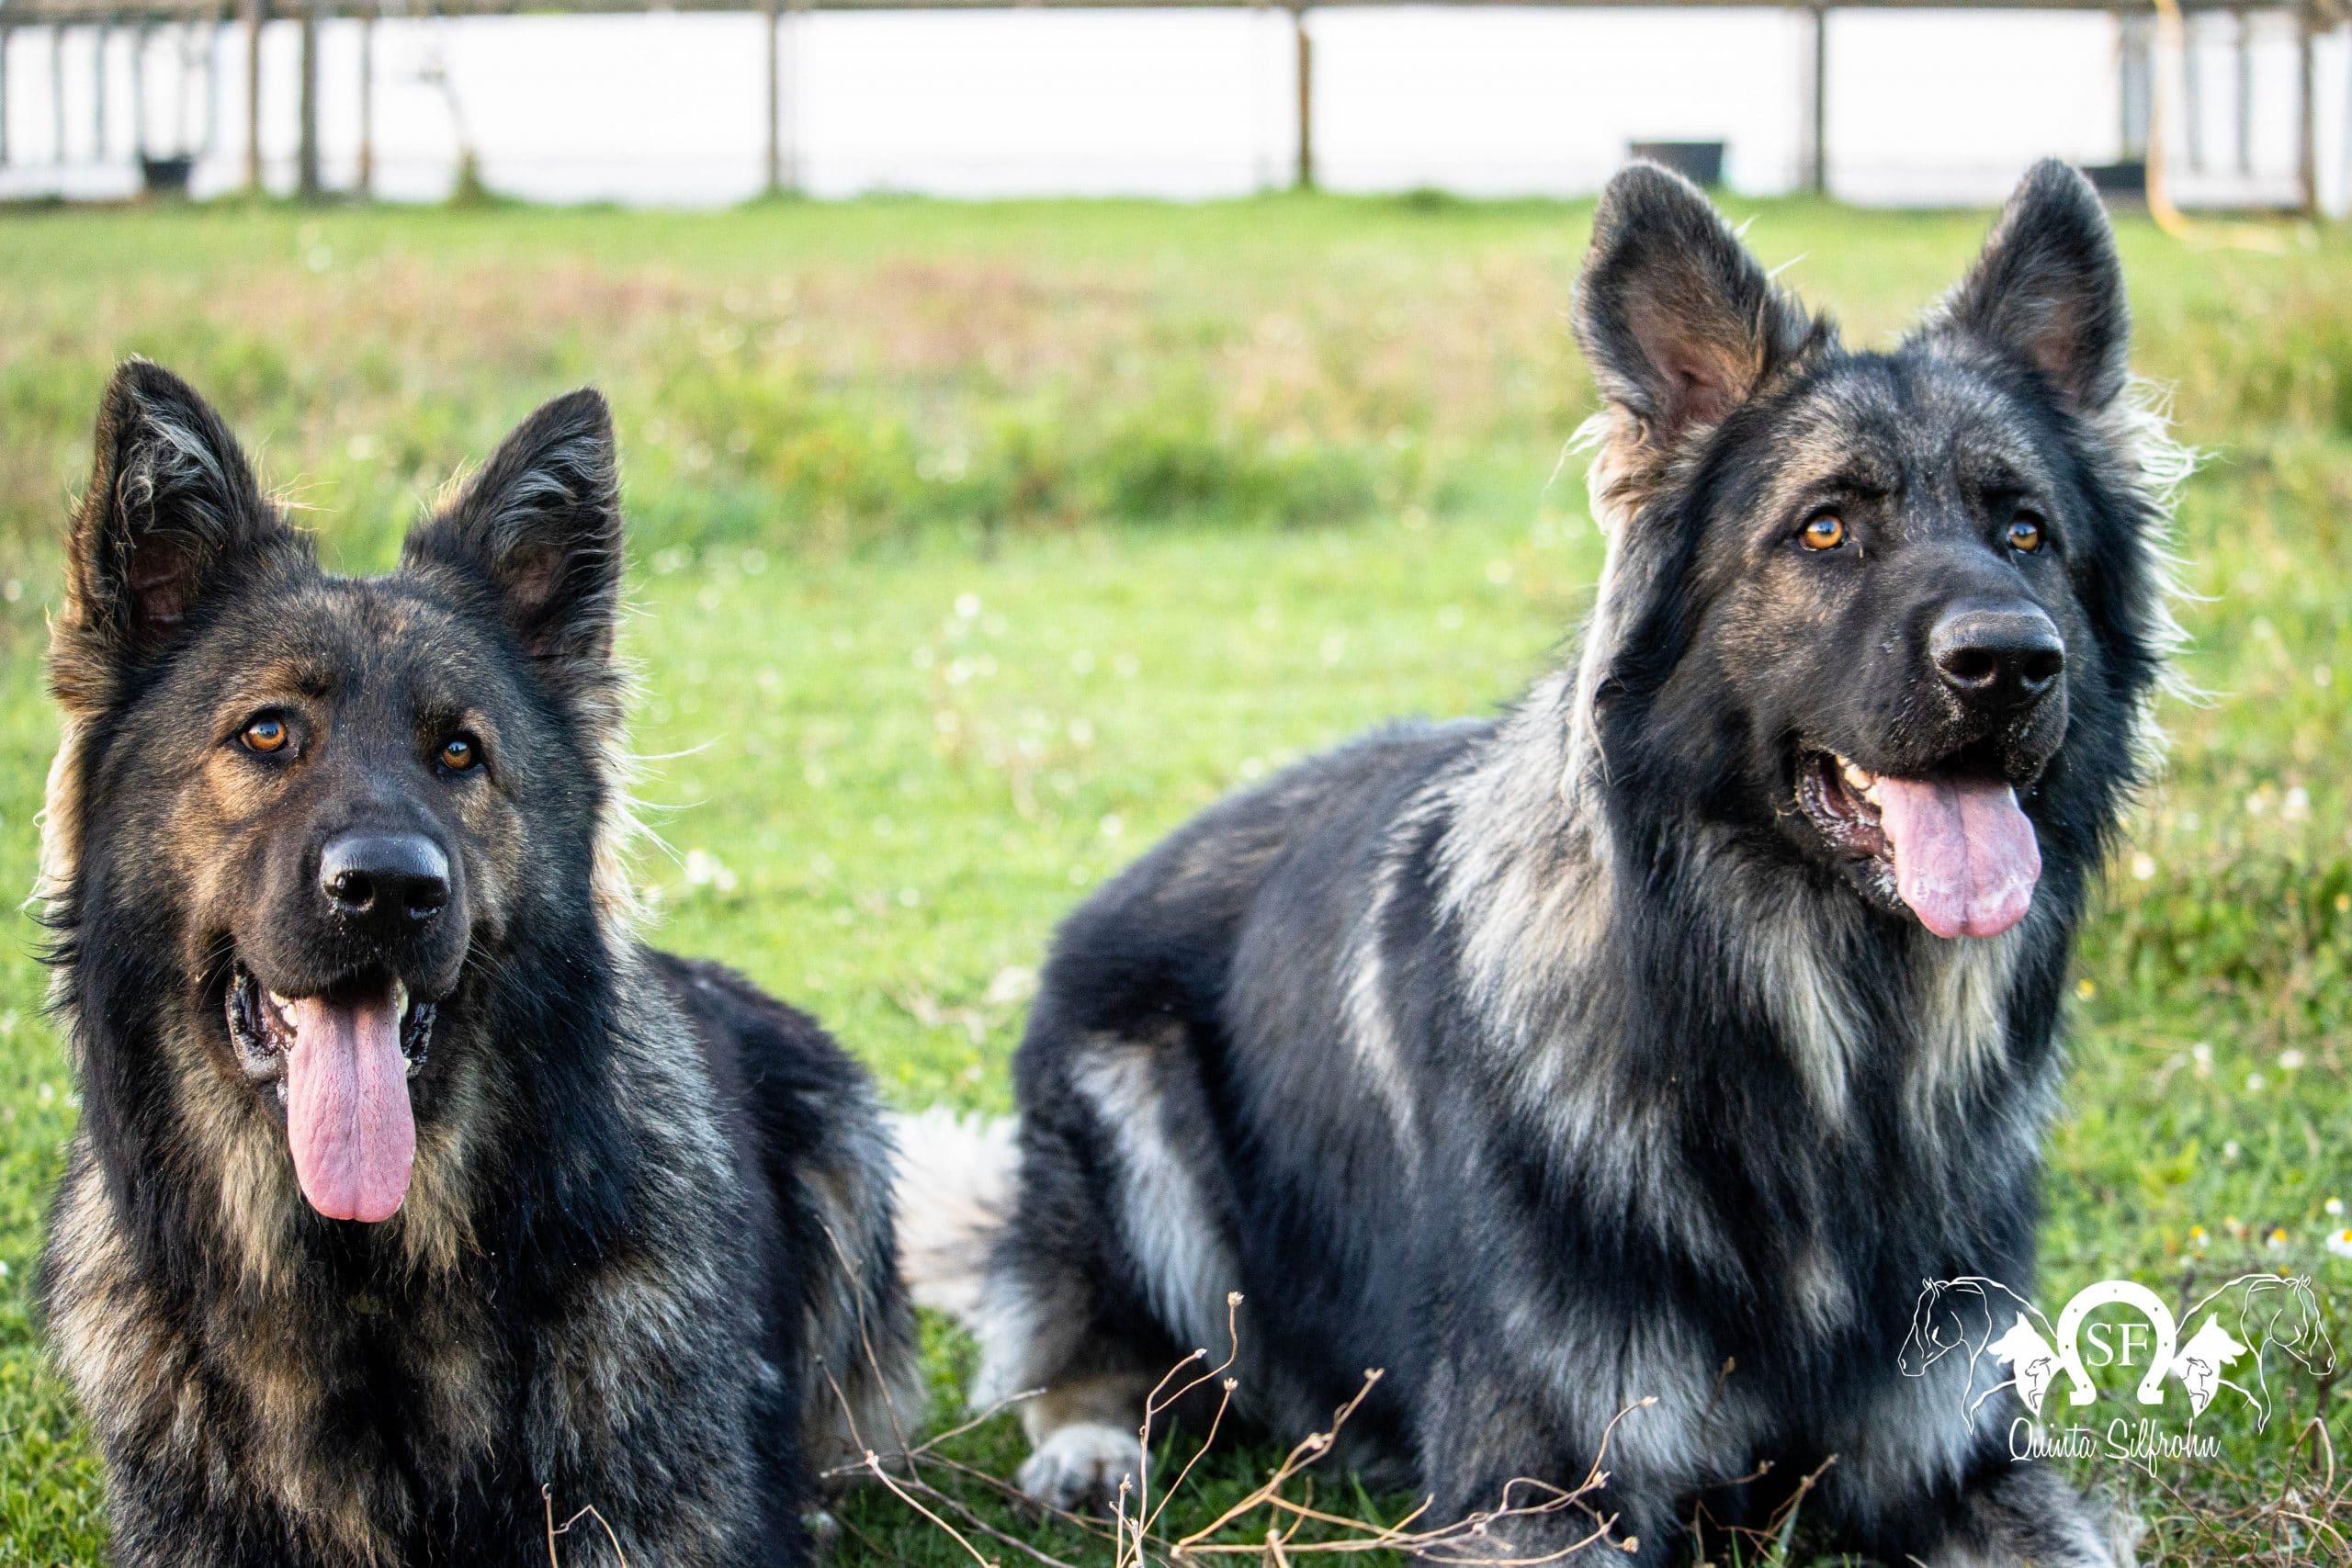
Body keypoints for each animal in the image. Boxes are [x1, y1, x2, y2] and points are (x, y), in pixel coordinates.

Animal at [926, 165, 2173, 1561]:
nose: (2009, 662)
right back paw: (1092, 1442)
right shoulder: (1537, 1490)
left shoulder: (1961, 1460)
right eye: (1825, 529)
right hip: (1128, 1111)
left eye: (2025, 533)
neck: (1815, 1046)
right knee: (1076, 1345)